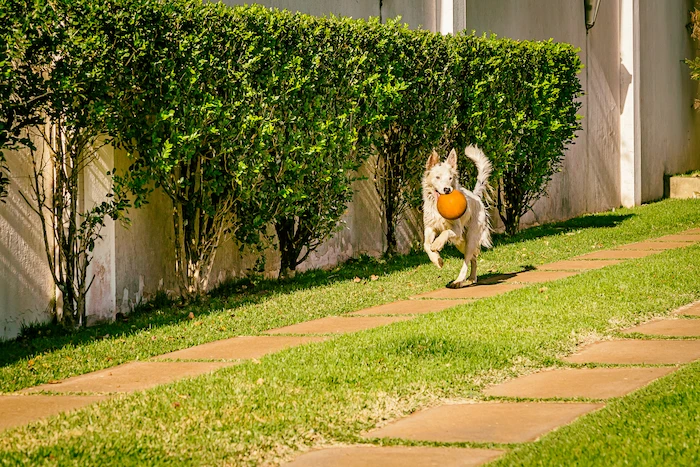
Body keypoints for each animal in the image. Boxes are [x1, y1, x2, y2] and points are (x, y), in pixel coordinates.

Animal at [422, 145, 492, 288]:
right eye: (437, 177)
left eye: (450, 178)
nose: (447, 189)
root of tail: (476, 196)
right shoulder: (430, 227)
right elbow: (426, 245)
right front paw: (437, 260)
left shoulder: (457, 230)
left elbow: (445, 232)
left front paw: (437, 244)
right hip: (461, 243)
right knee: (473, 258)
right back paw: (472, 278)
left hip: (470, 238)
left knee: (467, 259)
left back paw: (459, 280)